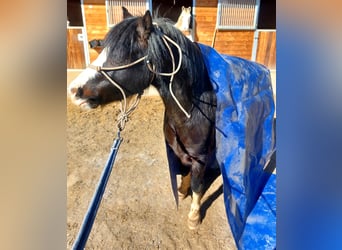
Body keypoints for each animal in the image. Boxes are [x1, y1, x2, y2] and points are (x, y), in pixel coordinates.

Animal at [69, 10, 216, 229]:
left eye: (123, 54)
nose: (73, 90)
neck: (191, 112)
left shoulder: (201, 157)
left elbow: (198, 185)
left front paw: (194, 217)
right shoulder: (178, 151)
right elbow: (184, 172)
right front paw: (182, 191)